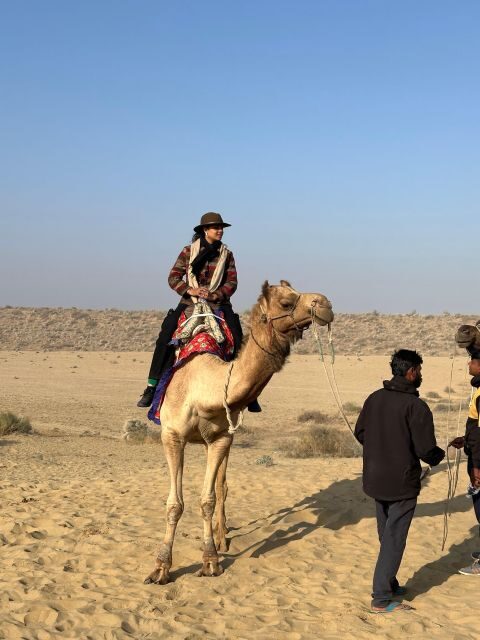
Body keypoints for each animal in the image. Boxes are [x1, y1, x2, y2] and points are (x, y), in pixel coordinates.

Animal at [144, 280, 334, 585]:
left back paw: (222, 536)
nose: (325, 304)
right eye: (286, 302)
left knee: (222, 486)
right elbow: (174, 504)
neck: (202, 386)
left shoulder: (222, 438)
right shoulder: (172, 436)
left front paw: (211, 560)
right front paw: (161, 568)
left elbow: (208, 499)